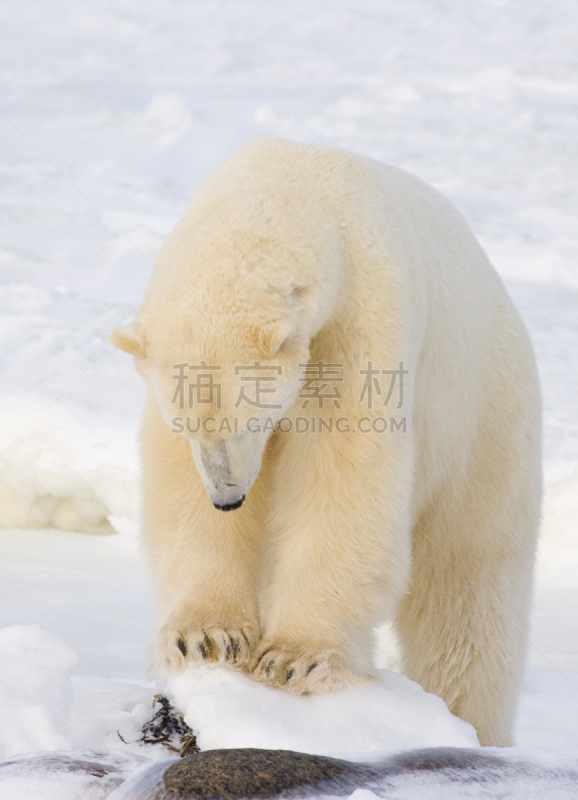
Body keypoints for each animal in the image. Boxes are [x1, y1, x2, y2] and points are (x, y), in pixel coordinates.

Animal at [109, 138, 540, 744]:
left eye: (251, 422)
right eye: (187, 426)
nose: (228, 498)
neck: (297, 187)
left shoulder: (362, 321)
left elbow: (345, 473)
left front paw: (295, 658)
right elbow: (178, 489)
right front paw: (207, 637)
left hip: (482, 420)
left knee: (466, 594)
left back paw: (470, 724)